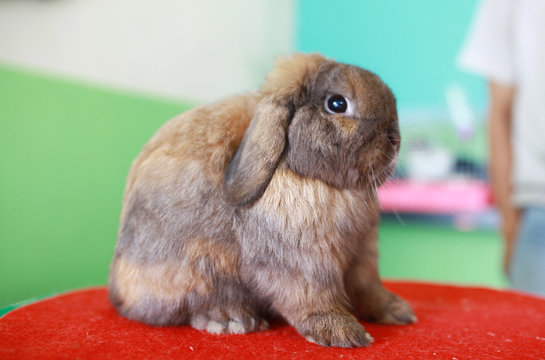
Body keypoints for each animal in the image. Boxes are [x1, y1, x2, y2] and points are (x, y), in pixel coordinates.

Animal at [108, 52, 414, 348]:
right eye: (337, 104)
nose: (395, 140)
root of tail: (118, 293)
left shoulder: (362, 257)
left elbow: (368, 288)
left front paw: (397, 312)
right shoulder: (301, 263)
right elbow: (312, 298)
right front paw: (343, 333)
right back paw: (232, 319)